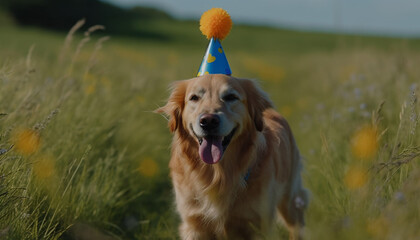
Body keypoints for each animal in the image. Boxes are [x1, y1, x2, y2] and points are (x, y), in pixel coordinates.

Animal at [158, 74, 308, 239]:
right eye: (194, 98)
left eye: (230, 97)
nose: (208, 121)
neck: (218, 175)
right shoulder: (193, 224)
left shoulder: (258, 224)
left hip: (291, 200)